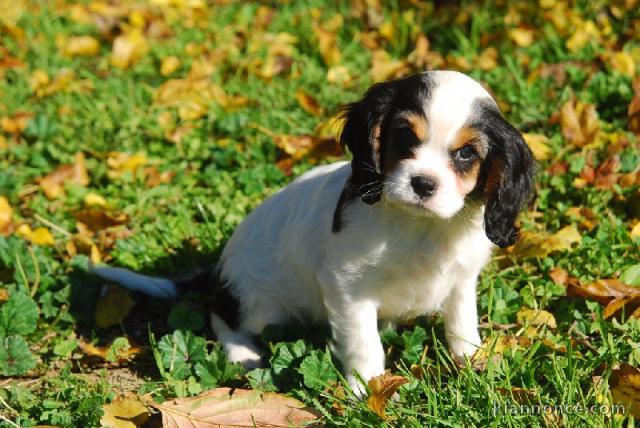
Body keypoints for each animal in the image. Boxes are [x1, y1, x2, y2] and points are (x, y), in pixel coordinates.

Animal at [92, 70, 536, 394]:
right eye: (404, 137)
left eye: (466, 154)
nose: (423, 184)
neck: (420, 226)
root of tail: (217, 268)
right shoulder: (348, 288)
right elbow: (364, 344)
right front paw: (367, 392)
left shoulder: (461, 279)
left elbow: (462, 326)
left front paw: (472, 365)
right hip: (261, 306)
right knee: (221, 314)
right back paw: (242, 354)